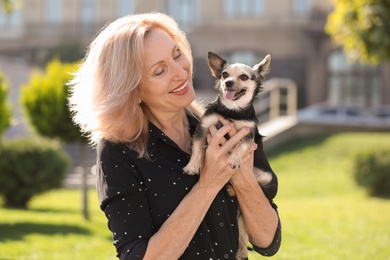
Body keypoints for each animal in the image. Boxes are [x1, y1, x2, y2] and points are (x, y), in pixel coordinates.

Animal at [183, 51, 278, 258]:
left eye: (243, 77)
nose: (227, 83)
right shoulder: (203, 128)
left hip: (265, 180)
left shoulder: (248, 134)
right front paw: (193, 166)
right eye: (224, 74)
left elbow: (239, 147)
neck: (232, 112)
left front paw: (234, 160)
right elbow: (197, 148)